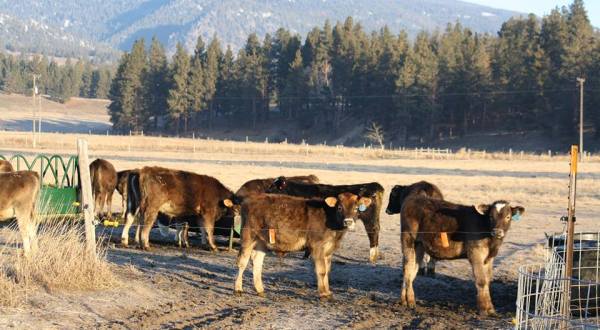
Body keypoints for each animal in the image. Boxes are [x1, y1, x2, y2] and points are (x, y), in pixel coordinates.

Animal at [233, 193, 370, 300]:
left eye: (356, 208)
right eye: (340, 207)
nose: (348, 222)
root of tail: (249, 200)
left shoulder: (328, 250)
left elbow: (327, 271)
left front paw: (327, 291)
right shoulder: (318, 247)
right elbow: (321, 271)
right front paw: (323, 294)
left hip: (261, 241)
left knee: (257, 263)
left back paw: (260, 290)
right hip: (248, 236)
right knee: (242, 262)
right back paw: (238, 289)